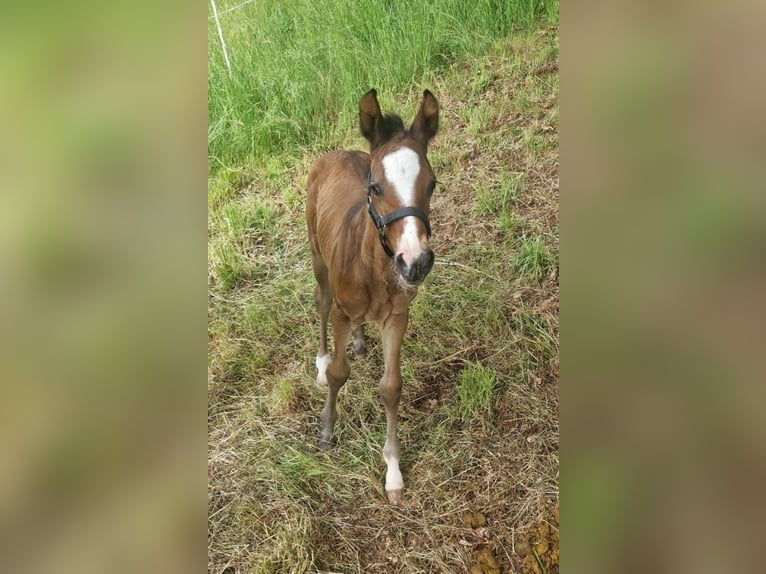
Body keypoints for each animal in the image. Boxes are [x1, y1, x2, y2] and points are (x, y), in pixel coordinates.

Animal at [306, 89, 439, 504]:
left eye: (432, 184)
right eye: (376, 187)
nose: (415, 261)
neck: (374, 269)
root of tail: (336, 153)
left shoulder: (397, 317)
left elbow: (391, 388)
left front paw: (393, 472)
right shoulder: (341, 313)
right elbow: (339, 374)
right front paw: (327, 429)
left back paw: (361, 342)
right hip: (318, 258)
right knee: (320, 301)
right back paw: (320, 362)